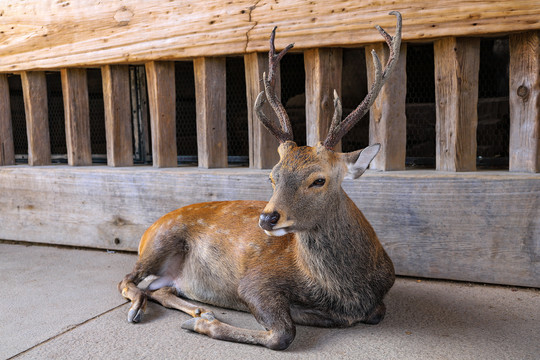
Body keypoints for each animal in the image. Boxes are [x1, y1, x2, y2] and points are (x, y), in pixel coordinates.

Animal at [120, 10, 402, 348]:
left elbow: (376, 313)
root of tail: (148, 230)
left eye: (318, 180)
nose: (267, 218)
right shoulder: (256, 279)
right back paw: (145, 309)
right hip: (160, 241)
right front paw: (205, 326)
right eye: (272, 176)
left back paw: (199, 310)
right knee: (128, 280)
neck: (347, 291)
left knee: (159, 288)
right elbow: (283, 333)